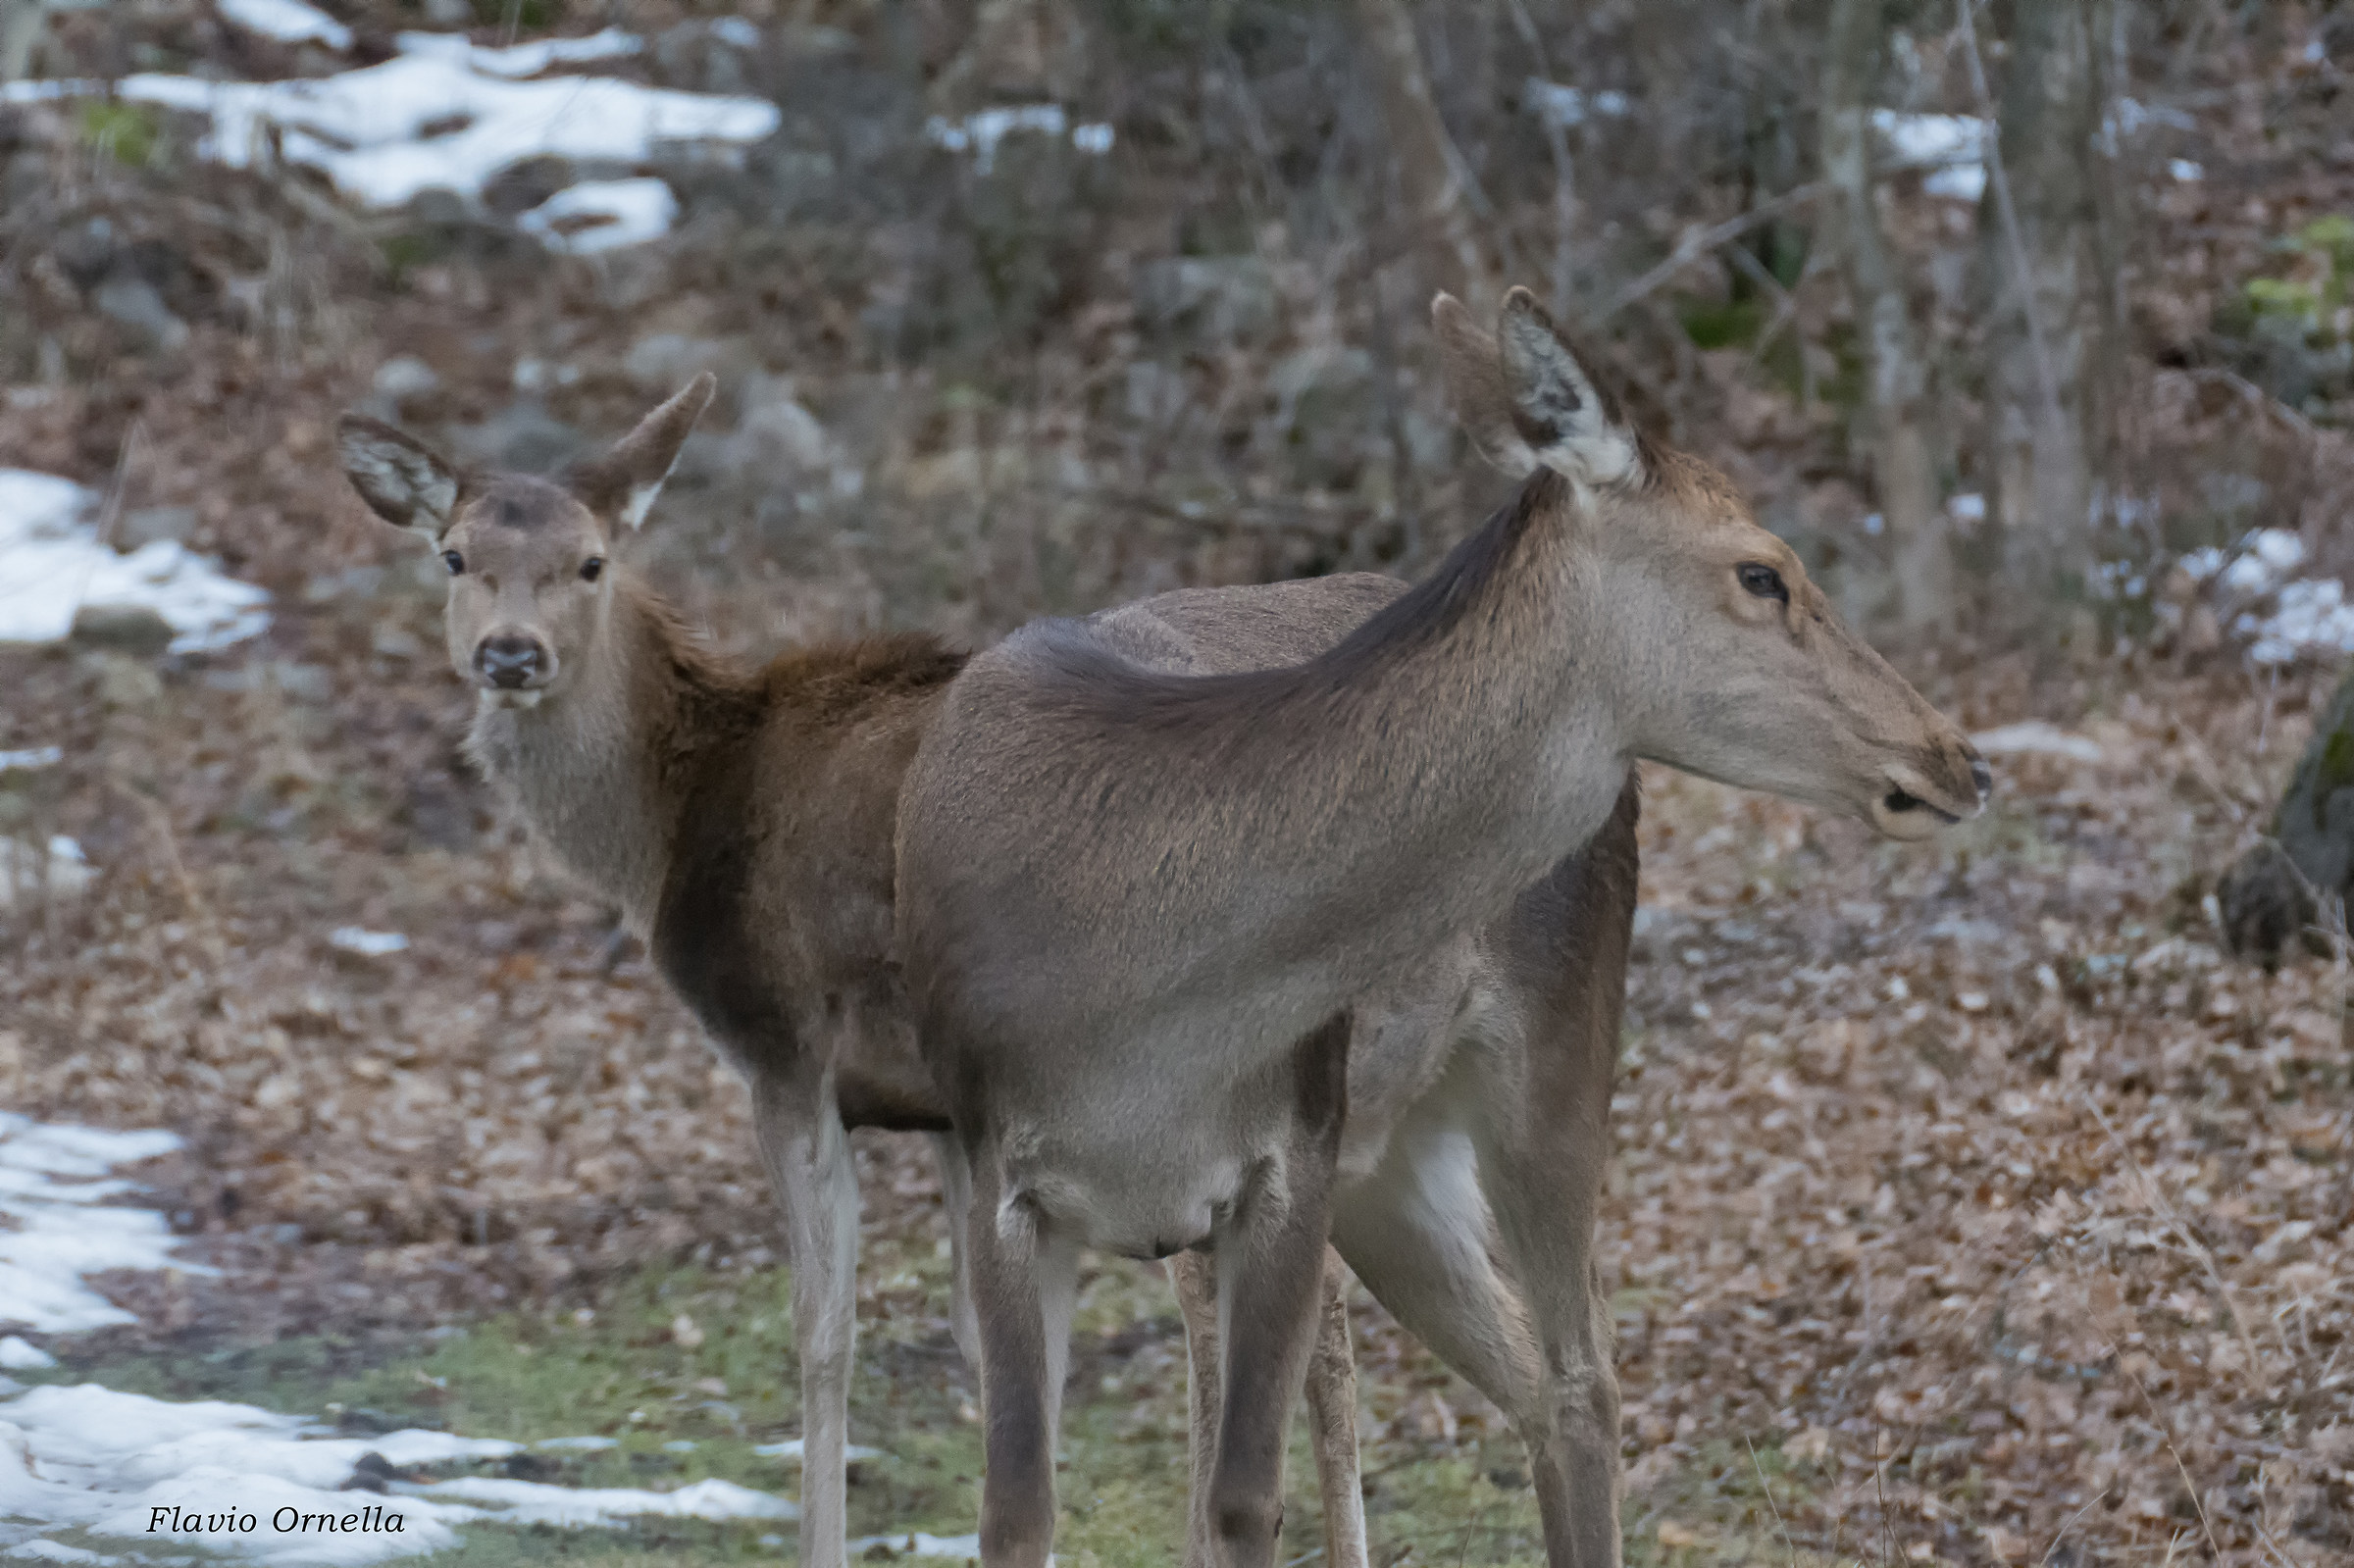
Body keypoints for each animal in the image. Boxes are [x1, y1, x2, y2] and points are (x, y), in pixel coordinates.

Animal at [338, 376, 1626, 1568]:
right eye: (454, 555)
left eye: (591, 561)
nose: (511, 655)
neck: (682, 814)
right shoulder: (953, 1119)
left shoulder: (785, 1047)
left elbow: (826, 1331)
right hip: (1388, 1121)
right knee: (1471, 1357)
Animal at [893, 285, 1992, 1568]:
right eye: (1763, 572)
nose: (1959, 757)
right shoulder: (996, 1174)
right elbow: (1021, 1514)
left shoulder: (1289, 1154)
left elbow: (1242, 1499)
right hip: (1391, 1161)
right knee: (1527, 1375)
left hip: (1554, 1055)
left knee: (1580, 1376)